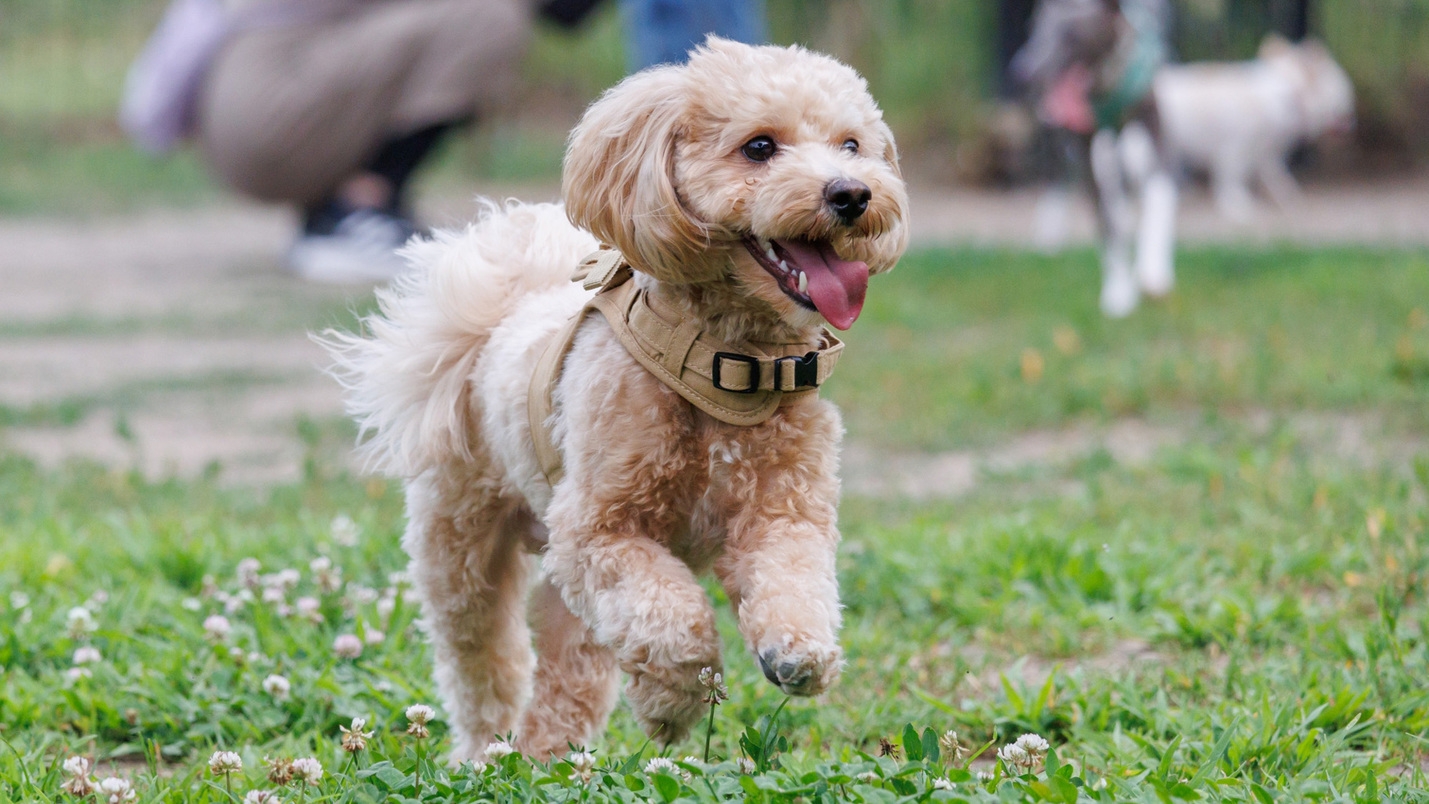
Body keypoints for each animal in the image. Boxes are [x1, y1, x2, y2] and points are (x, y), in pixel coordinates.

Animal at [1011, 0, 1177, 321]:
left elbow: (1157, 198)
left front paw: (1153, 271)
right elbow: (1105, 221)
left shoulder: (1156, 128)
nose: (1023, 72)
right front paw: (1119, 292)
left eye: (1072, 35)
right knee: (1058, 177)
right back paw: (1050, 232)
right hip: (1058, 138)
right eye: (1033, 30)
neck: (1103, 83)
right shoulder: (1085, 147)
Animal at [1154, 35, 1354, 219]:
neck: (1289, 94)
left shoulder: (1267, 152)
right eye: (1341, 90)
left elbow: (1276, 175)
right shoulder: (1236, 150)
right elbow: (1233, 178)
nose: (1352, 119)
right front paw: (1238, 206)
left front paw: (1286, 196)